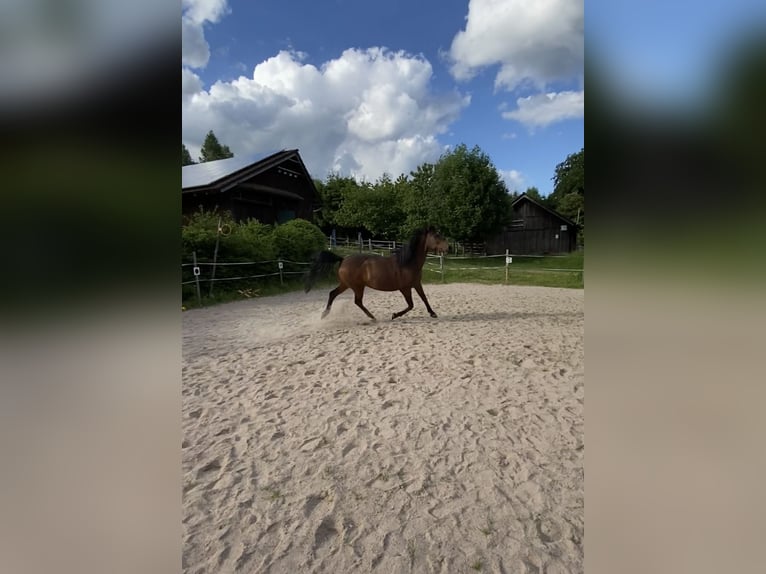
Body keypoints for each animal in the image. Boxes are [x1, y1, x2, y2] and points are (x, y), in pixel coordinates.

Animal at [304, 227, 449, 321]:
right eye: (436, 236)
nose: (449, 247)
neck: (408, 262)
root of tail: (343, 259)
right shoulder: (405, 288)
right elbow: (411, 305)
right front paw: (394, 315)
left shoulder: (417, 284)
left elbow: (424, 298)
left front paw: (433, 313)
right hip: (357, 287)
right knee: (357, 301)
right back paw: (372, 317)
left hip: (345, 284)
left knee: (333, 294)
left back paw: (324, 314)